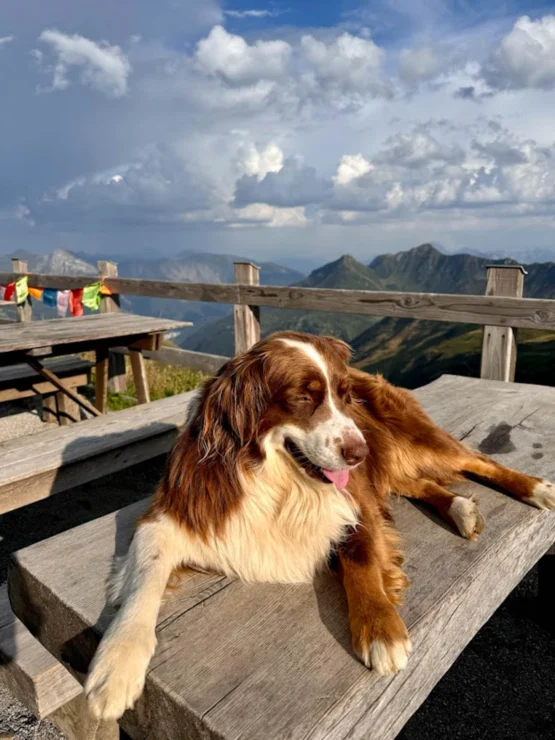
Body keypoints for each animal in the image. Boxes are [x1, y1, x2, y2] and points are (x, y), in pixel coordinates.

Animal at [83, 330, 555, 716]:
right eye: (302, 397)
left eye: (342, 394)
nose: (359, 452)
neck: (277, 478)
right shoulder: (173, 512)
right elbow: (145, 579)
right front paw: (116, 666)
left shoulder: (354, 501)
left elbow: (360, 560)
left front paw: (381, 629)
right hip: (389, 458)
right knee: (417, 481)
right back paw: (460, 508)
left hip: (408, 437)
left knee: (476, 459)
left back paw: (534, 488)